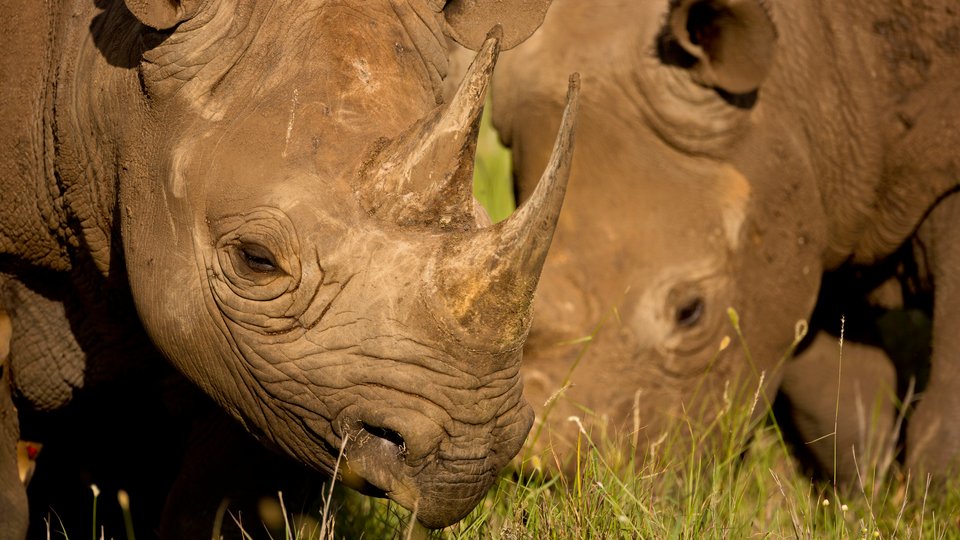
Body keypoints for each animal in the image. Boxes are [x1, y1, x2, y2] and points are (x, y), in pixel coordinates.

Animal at [491, 0, 960, 481]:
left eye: (690, 312)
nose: (547, 479)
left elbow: (943, 419)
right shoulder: (820, 195)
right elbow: (838, 397)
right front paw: (865, 491)